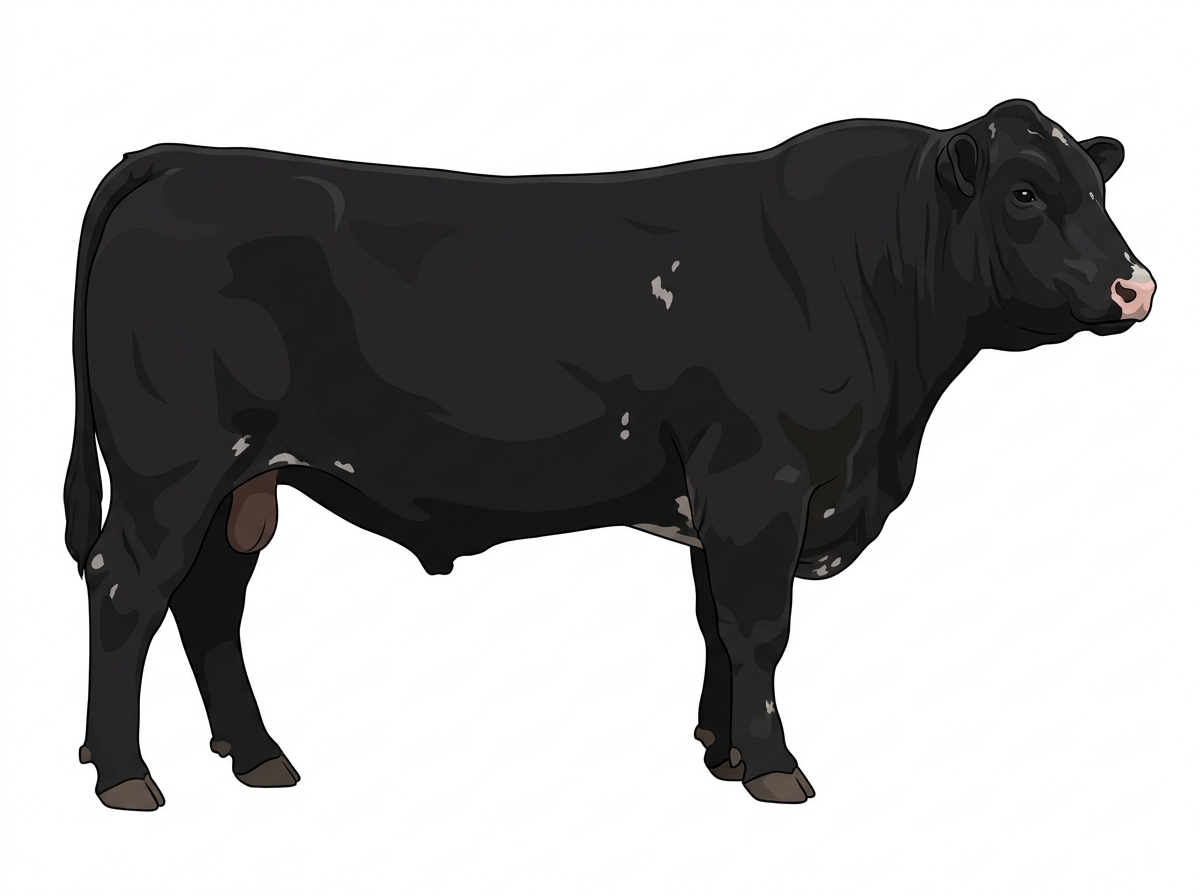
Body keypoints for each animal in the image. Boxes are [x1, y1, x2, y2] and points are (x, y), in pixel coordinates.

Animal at [63, 99, 1154, 810]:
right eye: (1025, 191)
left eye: (1097, 186)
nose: (1138, 284)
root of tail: (181, 155)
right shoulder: (761, 480)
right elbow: (760, 628)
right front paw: (774, 767)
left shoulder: (720, 496)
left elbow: (716, 624)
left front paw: (721, 750)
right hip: (172, 468)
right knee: (127, 588)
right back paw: (126, 774)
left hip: (244, 480)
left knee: (209, 600)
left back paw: (257, 755)